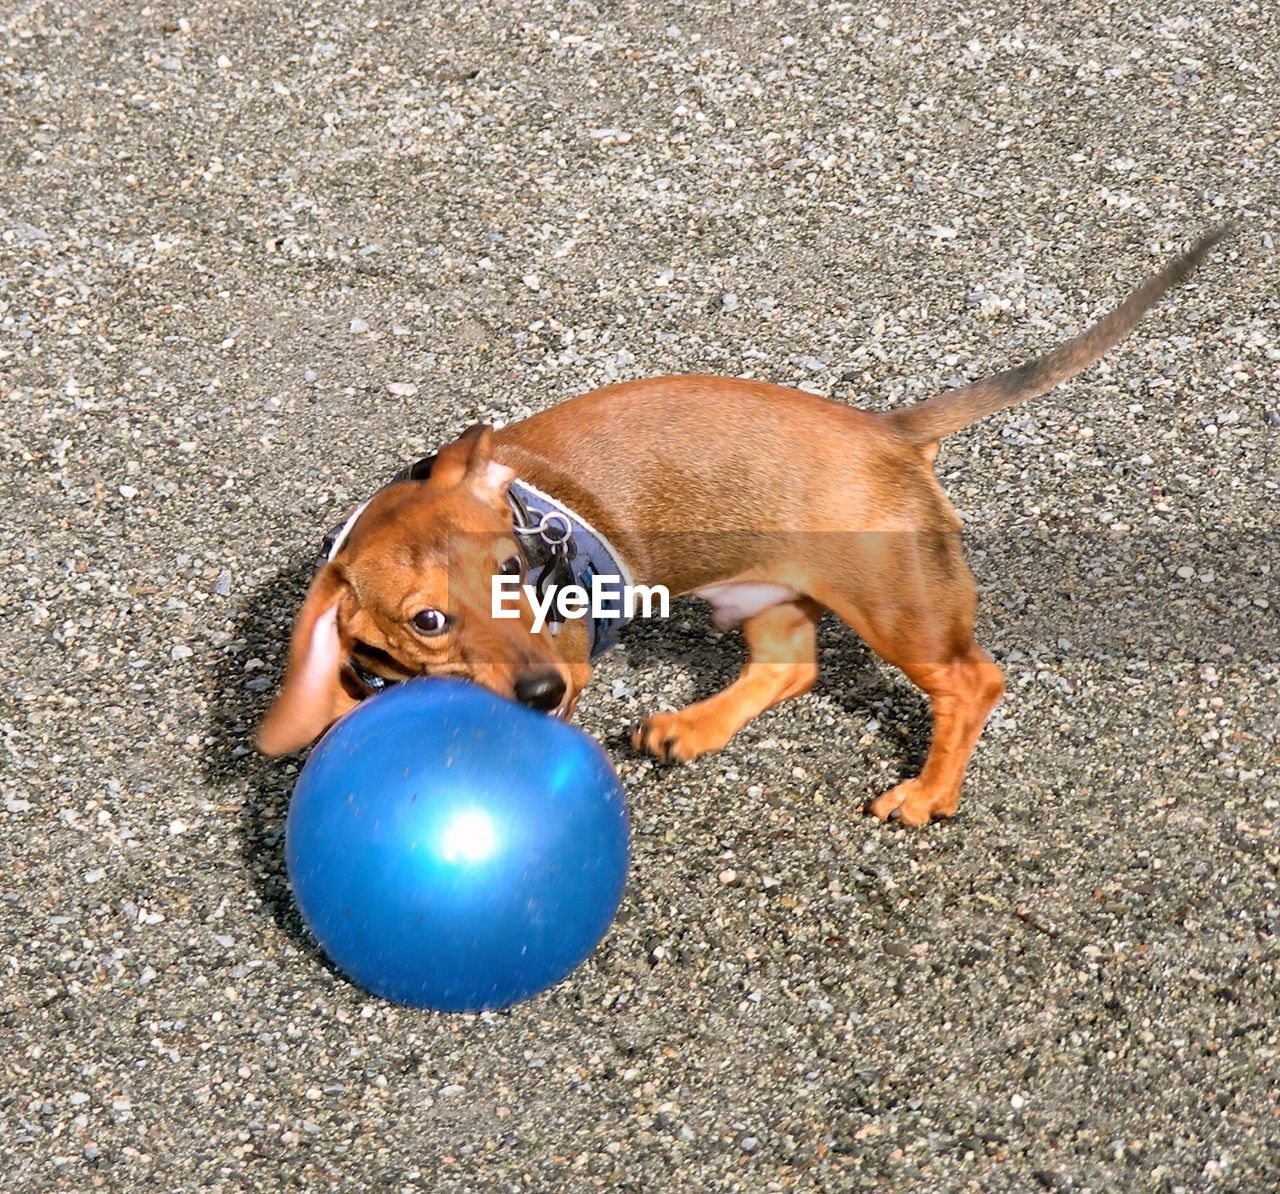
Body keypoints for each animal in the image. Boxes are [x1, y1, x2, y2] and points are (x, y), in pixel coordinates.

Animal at [259, 232, 1228, 829]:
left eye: (515, 568)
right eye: (428, 620)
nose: (544, 692)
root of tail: (888, 430)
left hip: (897, 610)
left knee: (970, 682)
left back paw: (925, 794)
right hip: (771, 598)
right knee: (790, 668)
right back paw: (691, 728)